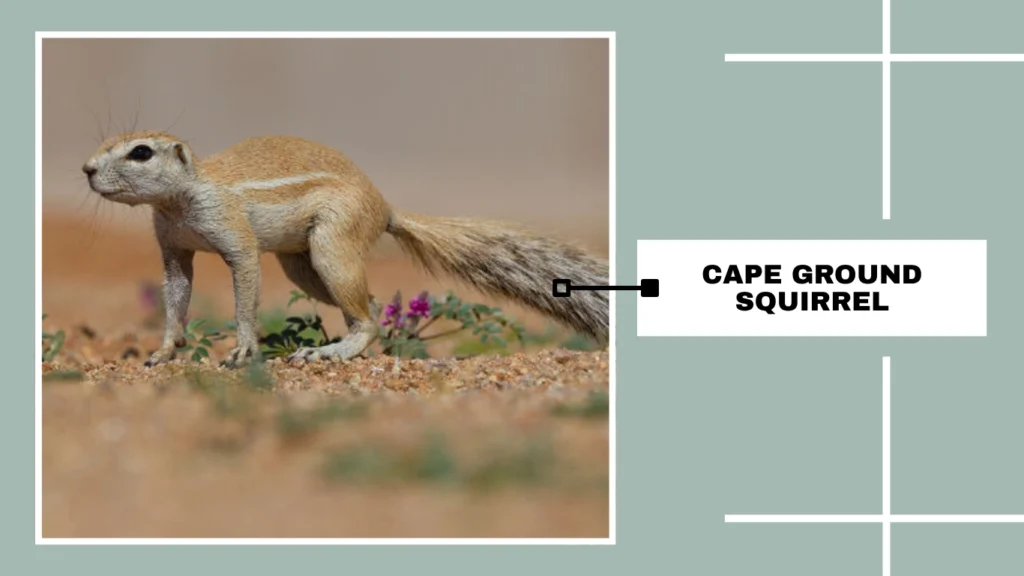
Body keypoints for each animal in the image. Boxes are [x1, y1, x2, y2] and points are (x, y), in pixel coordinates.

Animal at [81, 131, 609, 367]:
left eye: (141, 152)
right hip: (301, 266)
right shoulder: (173, 249)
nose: (85, 169)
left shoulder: (232, 233)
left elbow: (244, 287)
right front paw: (163, 351)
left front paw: (243, 349)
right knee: (372, 307)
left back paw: (329, 352)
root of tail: (385, 206)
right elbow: (175, 296)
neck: (180, 199)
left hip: (332, 247)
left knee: (368, 315)